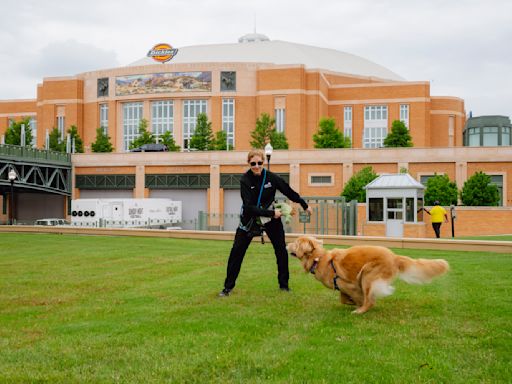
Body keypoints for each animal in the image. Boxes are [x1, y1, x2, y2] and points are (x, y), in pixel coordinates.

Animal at [286, 236, 450, 314]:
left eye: (295, 243)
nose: (287, 244)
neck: (319, 259)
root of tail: (394, 256)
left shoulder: (348, 284)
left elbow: (359, 298)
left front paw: (357, 304)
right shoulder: (341, 286)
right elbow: (343, 299)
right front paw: (351, 302)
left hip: (367, 275)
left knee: (370, 300)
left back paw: (360, 311)